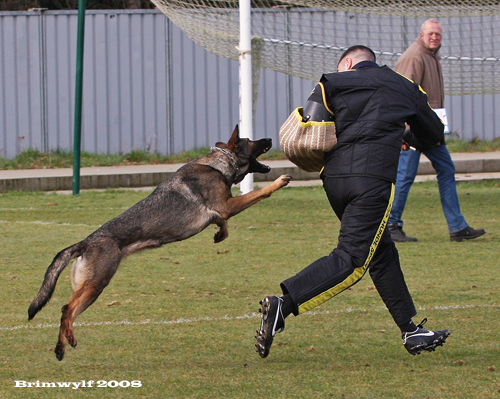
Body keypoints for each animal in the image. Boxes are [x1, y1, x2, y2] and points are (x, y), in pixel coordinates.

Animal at [27, 126, 292, 360]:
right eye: (250, 140)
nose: (270, 138)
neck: (217, 165)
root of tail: (85, 242)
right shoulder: (228, 205)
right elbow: (258, 194)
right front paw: (279, 181)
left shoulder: (222, 209)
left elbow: (222, 222)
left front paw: (220, 234)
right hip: (96, 284)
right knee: (66, 309)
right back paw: (69, 339)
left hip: (89, 288)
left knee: (67, 313)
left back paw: (60, 348)